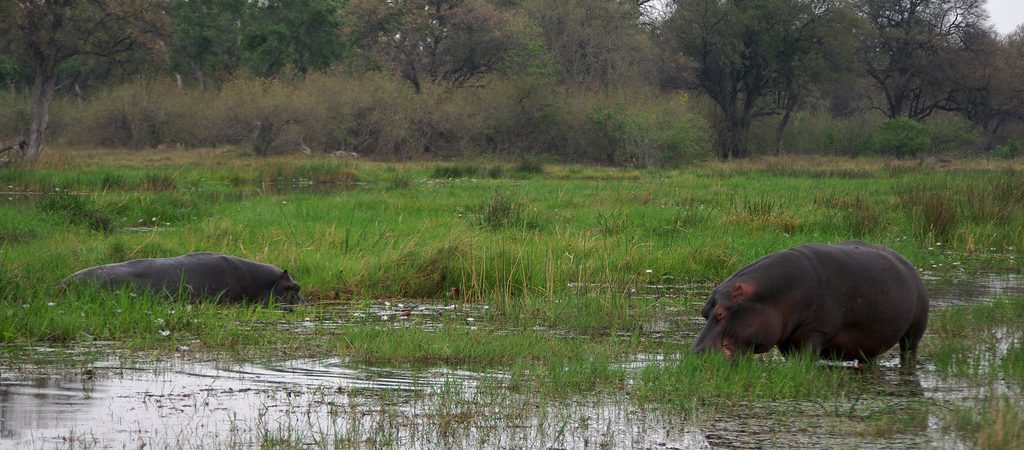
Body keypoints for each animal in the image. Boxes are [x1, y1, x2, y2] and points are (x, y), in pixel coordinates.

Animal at [692, 241, 928, 367]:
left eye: (720, 313)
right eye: (704, 312)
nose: (695, 355)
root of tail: (908, 263)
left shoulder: (816, 332)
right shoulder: (788, 341)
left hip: (914, 331)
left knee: (909, 350)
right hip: (871, 343)